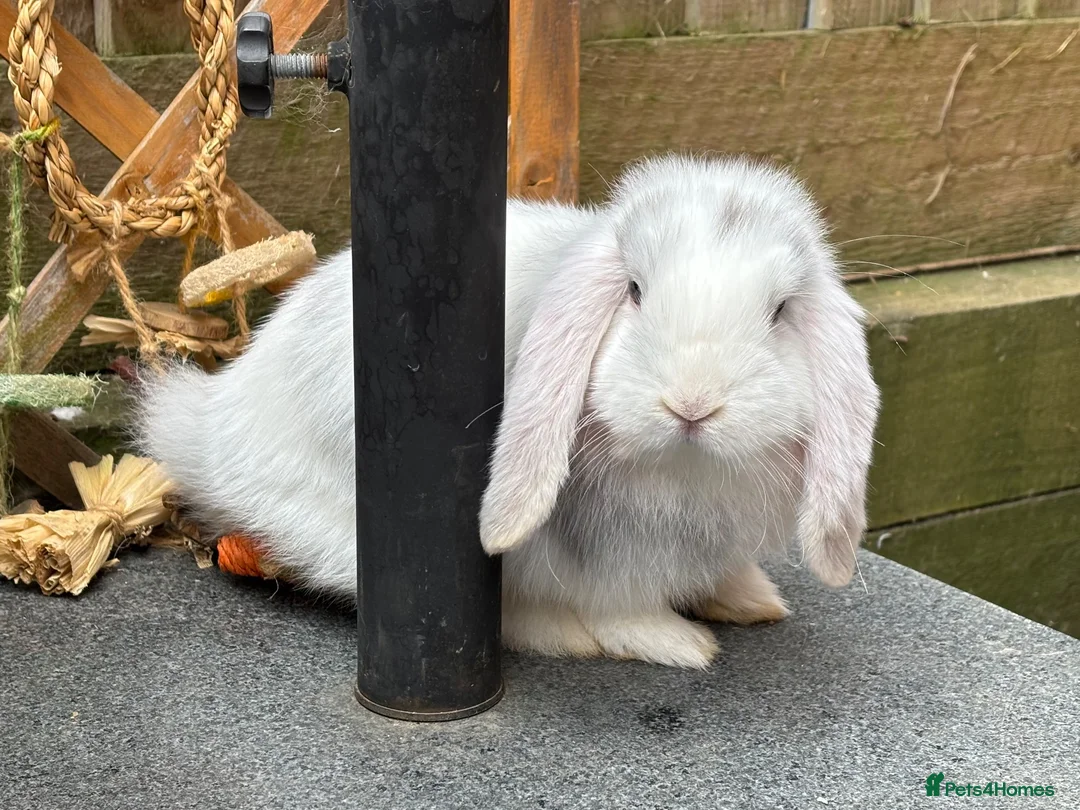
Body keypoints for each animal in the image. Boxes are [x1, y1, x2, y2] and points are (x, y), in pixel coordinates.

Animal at [137, 153, 880, 670]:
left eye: (780, 312)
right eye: (634, 291)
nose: (691, 404)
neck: (686, 471)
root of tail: (205, 435)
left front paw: (750, 599)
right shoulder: (605, 558)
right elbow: (623, 607)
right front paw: (679, 644)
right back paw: (566, 636)